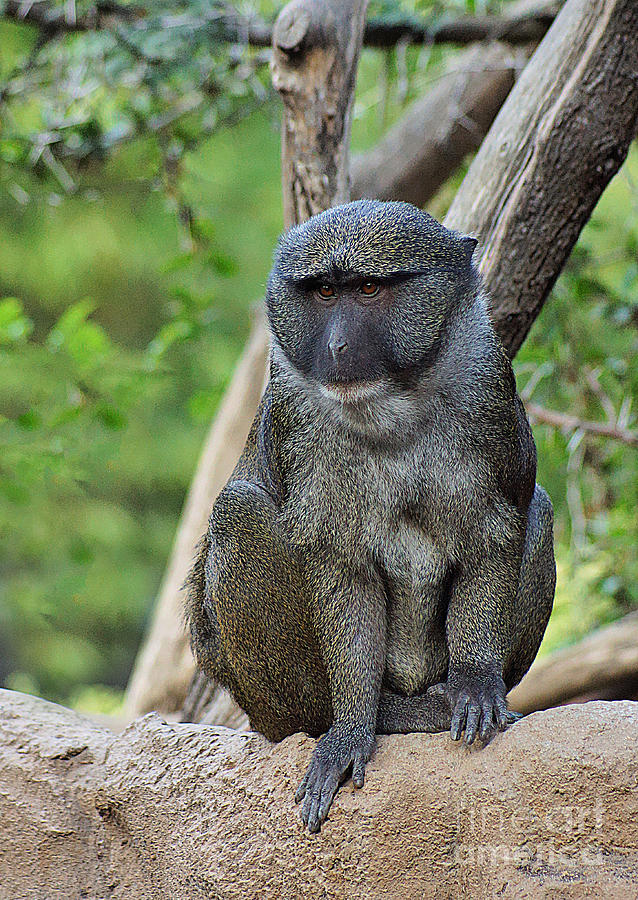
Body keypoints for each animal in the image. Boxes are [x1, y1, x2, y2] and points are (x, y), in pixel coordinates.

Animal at [184, 200, 556, 832]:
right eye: (325, 292)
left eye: (369, 288)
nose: (336, 348)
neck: (392, 410)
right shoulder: (297, 417)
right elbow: (342, 569)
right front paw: (351, 730)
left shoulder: (490, 391)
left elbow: (496, 531)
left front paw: (478, 684)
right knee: (239, 512)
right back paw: (371, 717)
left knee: (542, 508)